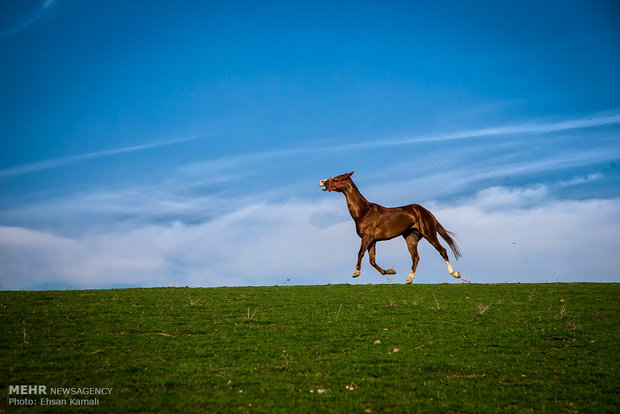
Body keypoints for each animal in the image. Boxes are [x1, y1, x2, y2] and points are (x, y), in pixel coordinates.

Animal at [320, 170, 460, 284]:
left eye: (338, 178)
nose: (322, 182)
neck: (363, 212)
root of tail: (426, 212)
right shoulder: (373, 240)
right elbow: (372, 260)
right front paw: (390, 271)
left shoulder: (367, 237)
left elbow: (360, 253)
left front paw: (356, 272)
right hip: (411, 238)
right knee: (416, 257)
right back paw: (409, 279)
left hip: (429, 234)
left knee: (442, 250)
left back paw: (455, 273)